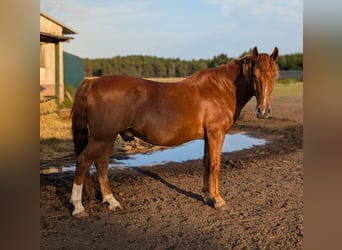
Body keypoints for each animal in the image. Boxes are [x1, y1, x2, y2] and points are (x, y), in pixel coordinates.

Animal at [69, 47, 278, 217]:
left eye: (275, 75)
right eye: (254, 75)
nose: (263, 111)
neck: (221, 88)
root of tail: (92, 83)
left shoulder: (208, 137)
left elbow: (206, 162)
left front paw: (205, 195)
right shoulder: (216, 135)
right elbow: (215, 165)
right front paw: (218, 200)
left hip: (108, 137)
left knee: (101, 164)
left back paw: (111, 201)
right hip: (101, 137)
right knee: (83, 162)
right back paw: (78, 207)